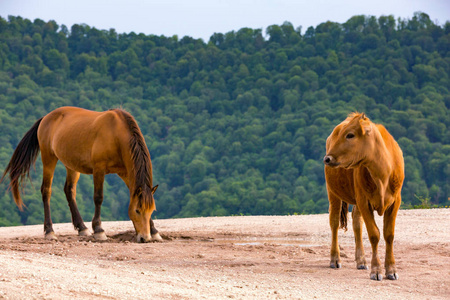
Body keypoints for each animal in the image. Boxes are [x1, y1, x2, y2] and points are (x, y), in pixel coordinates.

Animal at [0, 106, 163, 243]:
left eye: (151, 210)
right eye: (137, 210)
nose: (144, 238)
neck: (116, 134)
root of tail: (46, 118)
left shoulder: (125, 172)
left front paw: (154, 231)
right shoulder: (99, 169)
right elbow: (98, 198)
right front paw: (99, 230)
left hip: (71, 165)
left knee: (69, 190)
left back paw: (82, 228)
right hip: (48, 158)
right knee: (46, 191)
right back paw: (49, 231)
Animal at [324, 113, 404, 282]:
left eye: (350, 135)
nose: (327, 158)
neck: (382, 174)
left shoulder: (395, 202)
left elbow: (389, 235)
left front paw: (391, 270)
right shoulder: (364, 201)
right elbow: (374, 234)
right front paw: (376, 270)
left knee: (356, 223)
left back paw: (361, 261)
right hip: (333, 192)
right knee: (334, 222)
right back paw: (335, 259)